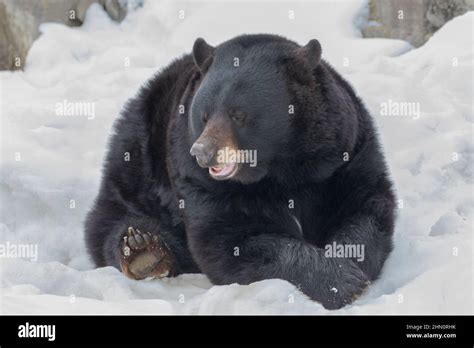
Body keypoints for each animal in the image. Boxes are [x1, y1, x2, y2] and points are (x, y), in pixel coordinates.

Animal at [85, 34, 396, 308]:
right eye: (204, 115)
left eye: (239, 114)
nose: (202, 152)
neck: (281, 169)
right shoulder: (200, 183)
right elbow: (229, 241)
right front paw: (337, 281)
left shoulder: (344, 156)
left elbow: (365, 207)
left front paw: (348, 261)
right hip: (136, 166)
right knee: (111, 222)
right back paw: (142, 249)